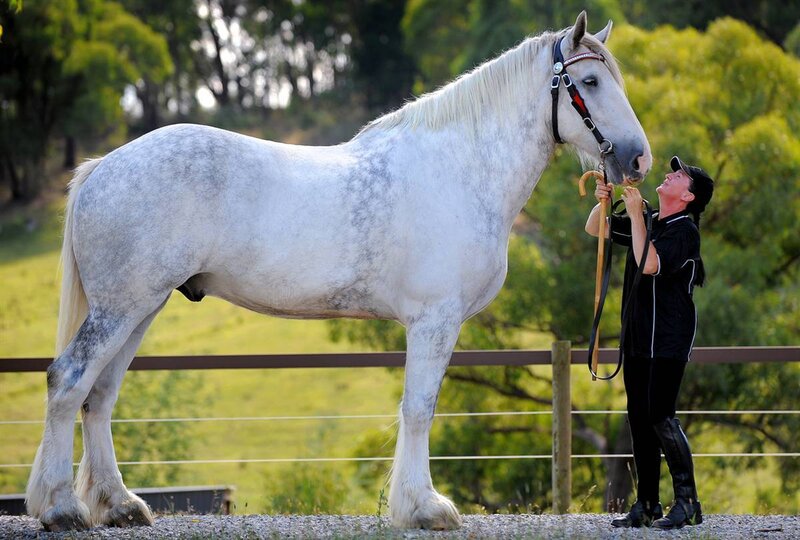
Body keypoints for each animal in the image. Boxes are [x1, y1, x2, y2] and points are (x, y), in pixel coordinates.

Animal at [26, 11, 651, 531]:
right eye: (590, 82)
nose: (638, 158)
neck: (460, 168)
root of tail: (103, 166)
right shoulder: (434, 320)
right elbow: (419, 409)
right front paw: (425, 508)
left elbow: (415, 410)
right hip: (121, 307)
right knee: (69, 381)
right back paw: (61, 509)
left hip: (141, 306)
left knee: (100, 396)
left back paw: (119, 505)